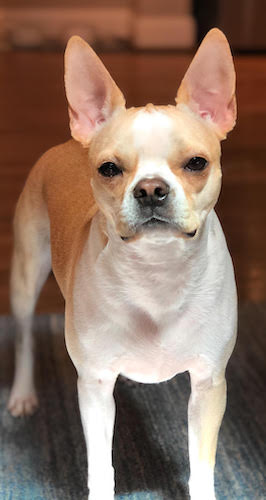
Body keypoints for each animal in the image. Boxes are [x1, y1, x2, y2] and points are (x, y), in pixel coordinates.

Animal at [7, 28, 237, 500]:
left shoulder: (208, 386)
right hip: (25, 275)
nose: (150, 189)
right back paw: (21, 394)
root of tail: (67, 143)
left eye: (197, 163)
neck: (157, 273)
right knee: (23, 339)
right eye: (109, 169)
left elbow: (201, 467)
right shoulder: (95, 388)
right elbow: (100, 467)